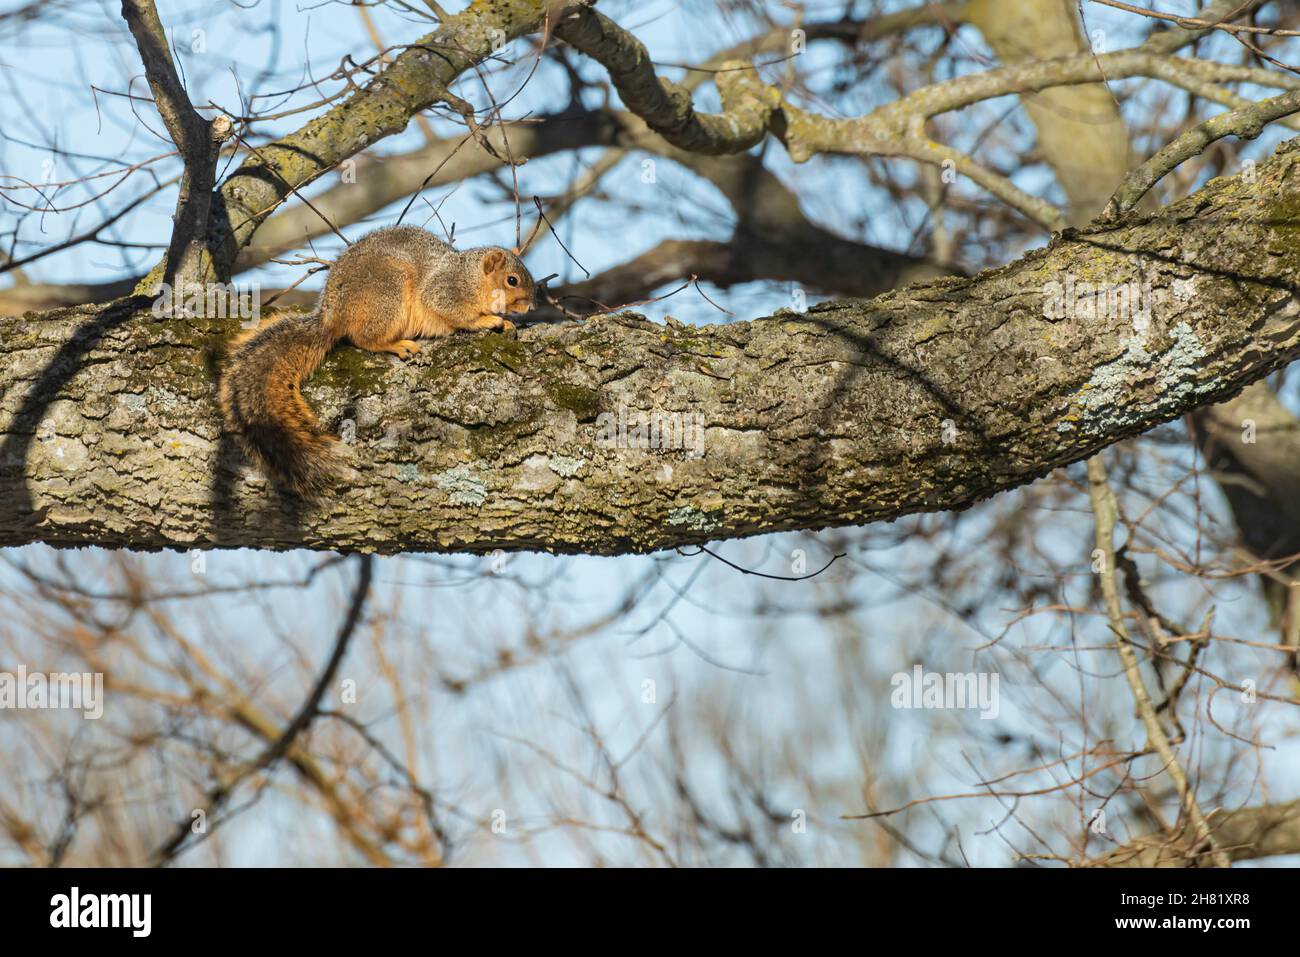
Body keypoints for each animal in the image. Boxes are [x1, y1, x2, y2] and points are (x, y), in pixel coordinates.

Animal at [219, 225, 536, 497]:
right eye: (512, 280)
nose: (531, 306)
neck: (471, 277)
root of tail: (333, 314)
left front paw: (507, 323)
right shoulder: (445, 290)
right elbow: (455, 312)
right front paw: (490, 320)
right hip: (388, 292)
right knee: (364, 339)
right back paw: (397, 345)